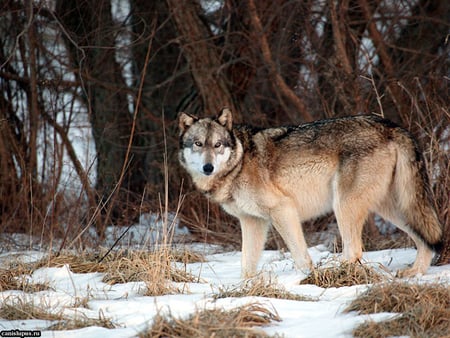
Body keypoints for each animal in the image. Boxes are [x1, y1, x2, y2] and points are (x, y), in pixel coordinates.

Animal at [178, 107, 442, 278]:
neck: (239, 162)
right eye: (198, 144)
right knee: (426, 240)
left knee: (354, 250)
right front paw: (246, 291)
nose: (208, 168)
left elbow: (300, 256)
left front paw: (308, 279)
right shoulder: (252, 221)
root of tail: (391, 125)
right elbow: (246, 265)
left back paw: (335, 275)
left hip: (344, 206)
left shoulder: (283, 210)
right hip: (393, 208)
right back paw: (414, 274)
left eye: (217, 145)